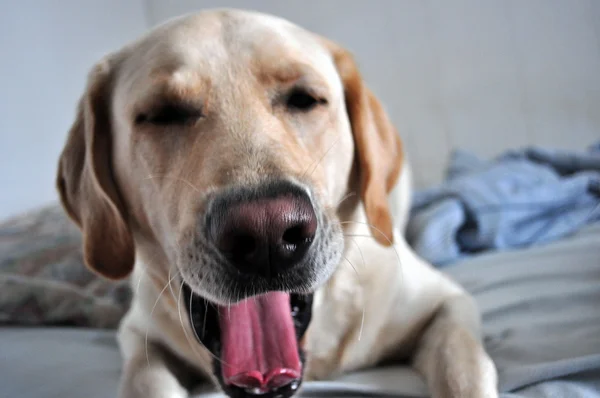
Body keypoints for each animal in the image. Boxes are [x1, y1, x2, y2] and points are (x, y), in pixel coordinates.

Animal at [57, 8, 496, 398]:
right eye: (164, 113)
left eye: (304, 99)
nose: (266, 231)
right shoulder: (138, 335)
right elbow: (143, 379)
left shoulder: (447, 304)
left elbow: (463, 365)